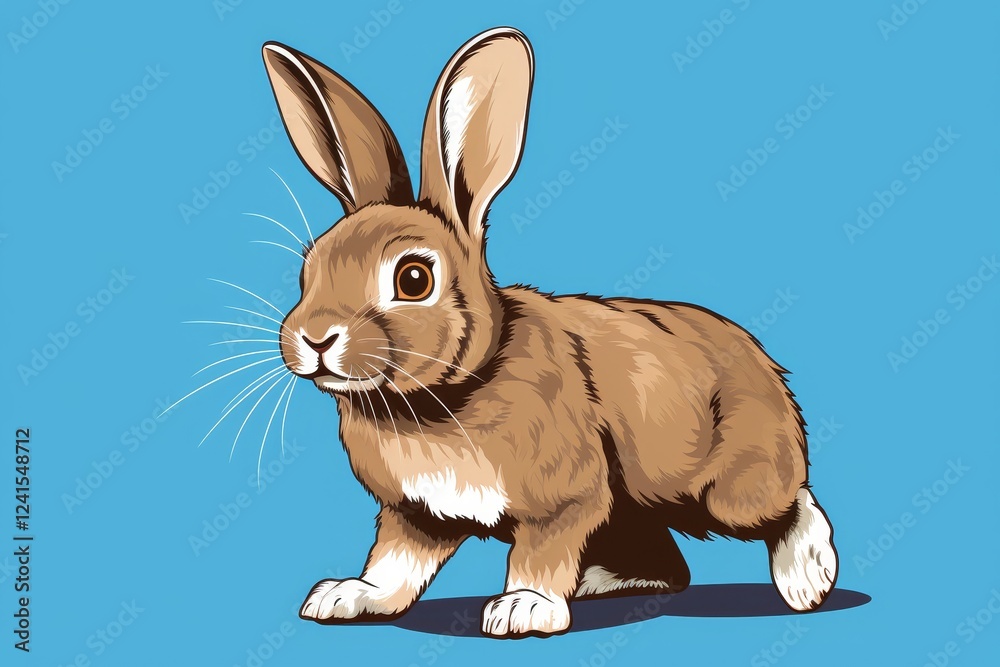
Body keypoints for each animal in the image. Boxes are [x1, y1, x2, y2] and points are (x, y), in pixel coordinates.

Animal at [261, 26, 838, 638]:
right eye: (307, 270)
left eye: (413, 278)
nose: (316, 338)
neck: (450, 393)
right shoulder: (416, 514)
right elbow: (395, 564)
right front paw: (349, 596)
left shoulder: (565, 499)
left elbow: (541, 551)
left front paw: (524, 608)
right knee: (669, 563)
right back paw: (598, 584)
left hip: (728, 486)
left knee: (786, 505)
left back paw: (807, 580)